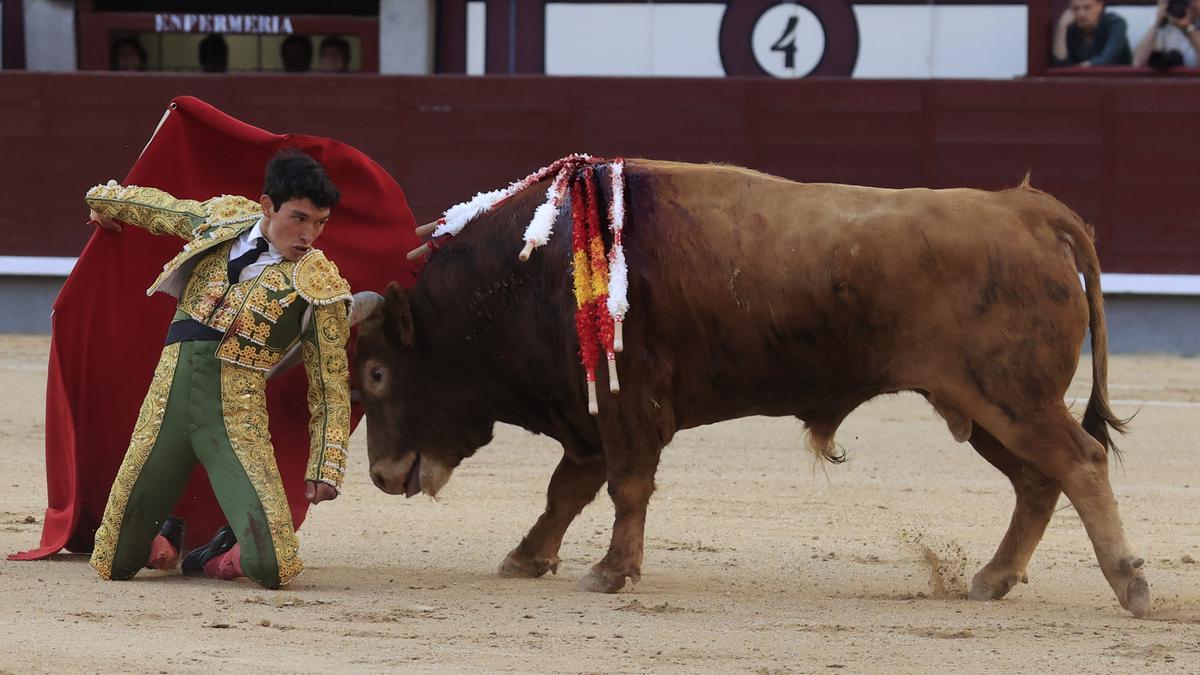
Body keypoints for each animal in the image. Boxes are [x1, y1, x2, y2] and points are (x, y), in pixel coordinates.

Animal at [350, 157, 1147, 614]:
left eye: (379, 374)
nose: (382, 475)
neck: (525, 277)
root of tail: (1024, 209)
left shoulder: (623, 403)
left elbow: (623, 486)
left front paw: (610, 572)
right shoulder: (588, 414)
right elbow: (567, 490)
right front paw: (528, 558)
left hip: (1009, 399)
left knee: (1080, 463)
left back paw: (1130, 585)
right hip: (984, 407)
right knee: (1038, 481)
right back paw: (993, 577)